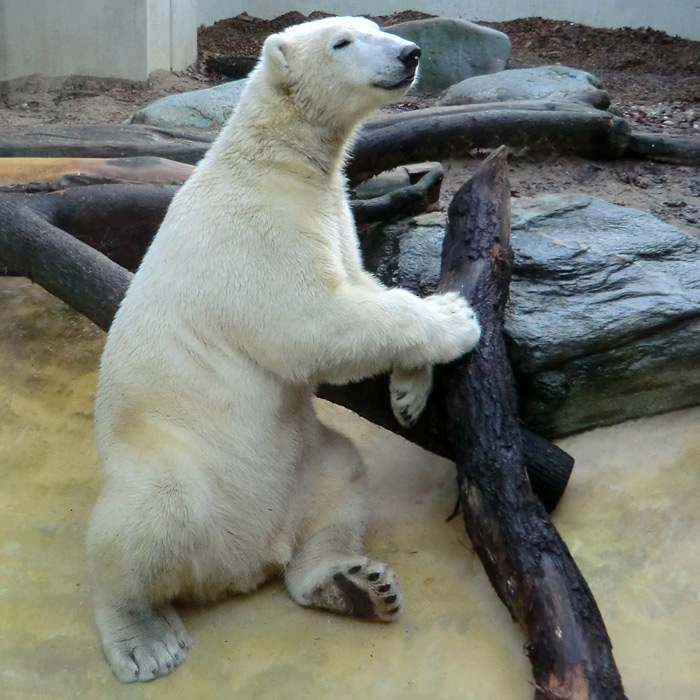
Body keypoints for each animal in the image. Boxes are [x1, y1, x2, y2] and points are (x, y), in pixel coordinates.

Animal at [85, 16, 482, 684]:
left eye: (378, 27)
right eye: (343, 42)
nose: (410, 53)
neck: (274, 157)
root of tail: (240, 563)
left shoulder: (334, 214)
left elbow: (363, 286)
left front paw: (409, 393)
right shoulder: (257, 230)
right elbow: (314, 322)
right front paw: (456, 318)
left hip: (304, 463)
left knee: (343, 475)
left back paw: (350, 584)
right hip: (175, 455)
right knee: (150, 514)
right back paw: (146, 639)